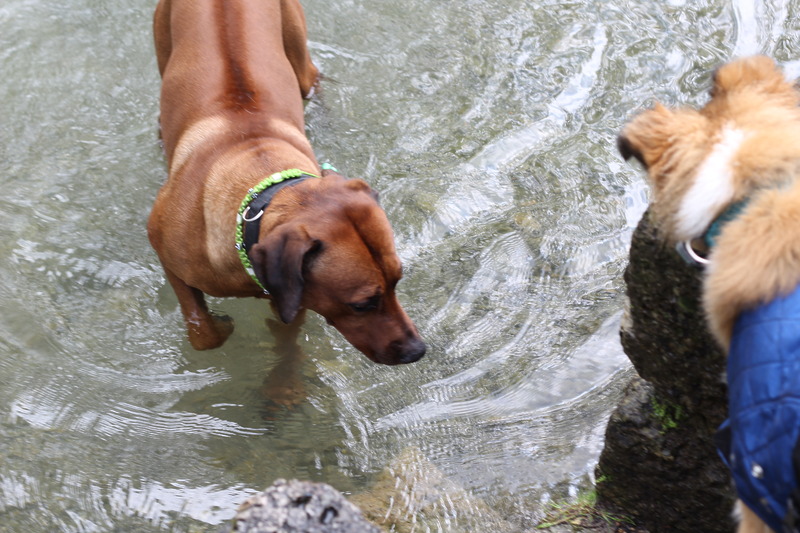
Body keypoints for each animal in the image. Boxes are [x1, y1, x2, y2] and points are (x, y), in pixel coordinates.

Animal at [148, 0, 428, 364]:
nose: (417, 350)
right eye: (361, 304)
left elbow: (286, 345)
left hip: (298, 51)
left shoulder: (291, 297)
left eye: (398, 280)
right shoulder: (162, 246)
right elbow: (202, 332)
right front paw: (219, 326)